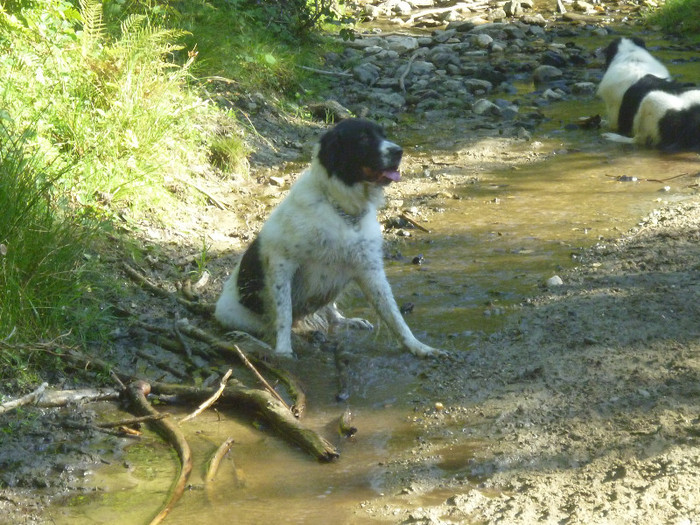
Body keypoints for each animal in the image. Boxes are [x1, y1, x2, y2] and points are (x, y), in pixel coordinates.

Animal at [215, 118, 442, 356]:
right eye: (363, 138)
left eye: (383, 134)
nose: (398, 151)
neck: (343, 210)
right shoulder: (282, 264)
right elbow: (283, 315)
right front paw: (283, 351)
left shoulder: (369, 269)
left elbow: (394, 316)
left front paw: (419, 347)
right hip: (233, 314)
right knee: (266, 326)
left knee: (330, 312)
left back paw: (346, 321)